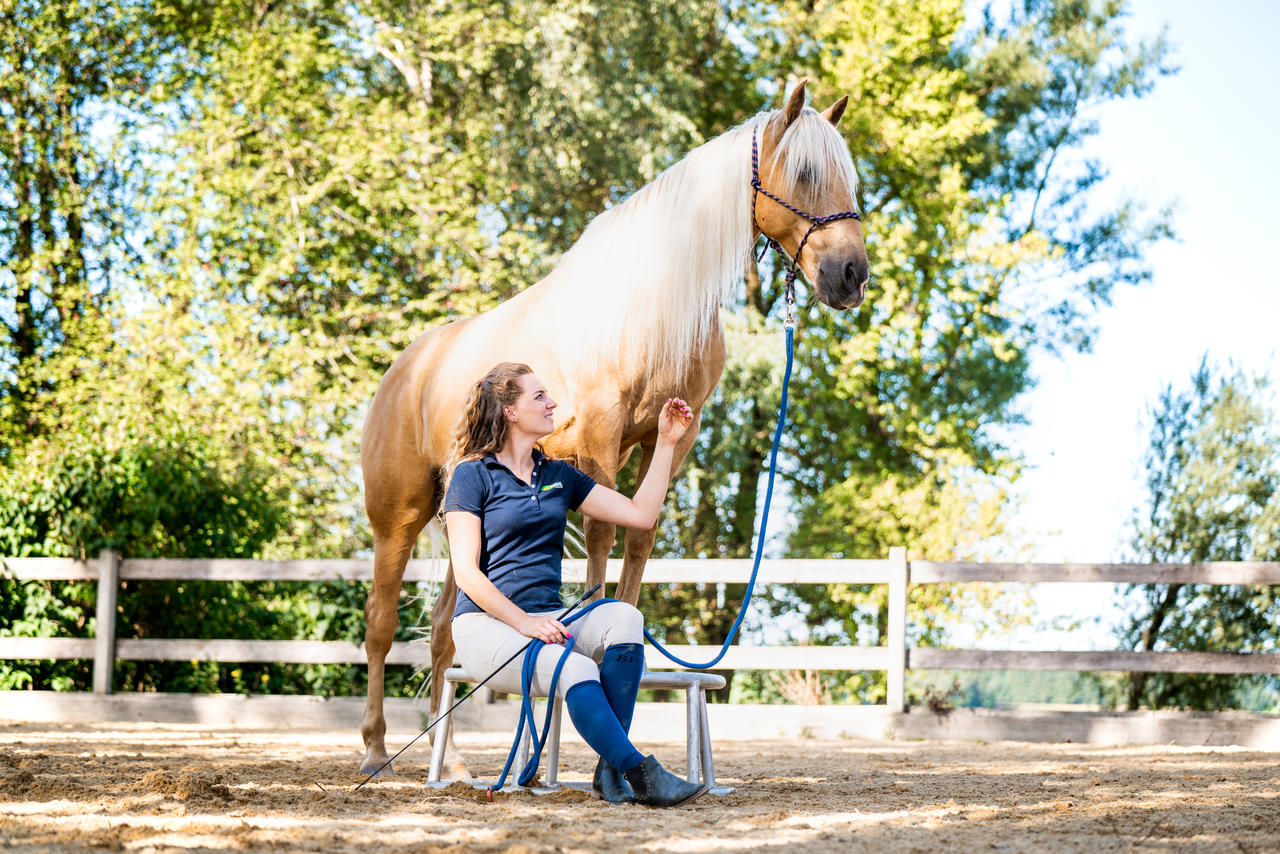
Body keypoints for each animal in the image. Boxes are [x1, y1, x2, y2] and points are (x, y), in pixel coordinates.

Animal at [358, 81, 870, 783]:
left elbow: (639, 538)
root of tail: (407, 366)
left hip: (458, 517)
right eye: (807, 172)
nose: (852, 275)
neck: (651, 305)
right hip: (400, 517)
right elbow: (602, 537)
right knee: (381, 626)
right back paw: (375, 749)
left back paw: (455, 763)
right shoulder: (599, 437)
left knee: (442, 634)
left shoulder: (669, 440)